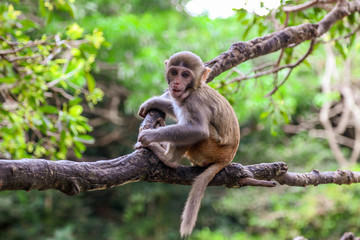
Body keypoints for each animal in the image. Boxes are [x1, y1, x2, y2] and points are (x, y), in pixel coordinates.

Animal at [137, 51, 239, 237]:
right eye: (174, 72)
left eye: (185, 75)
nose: (176, 83)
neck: (193, 90)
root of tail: (227, 158)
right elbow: (175, 107)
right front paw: (153, 102)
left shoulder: (194, 102)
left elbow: (197, 130)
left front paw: (149, 136)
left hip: (210, 149)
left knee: (196, 133)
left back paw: (167, 158)